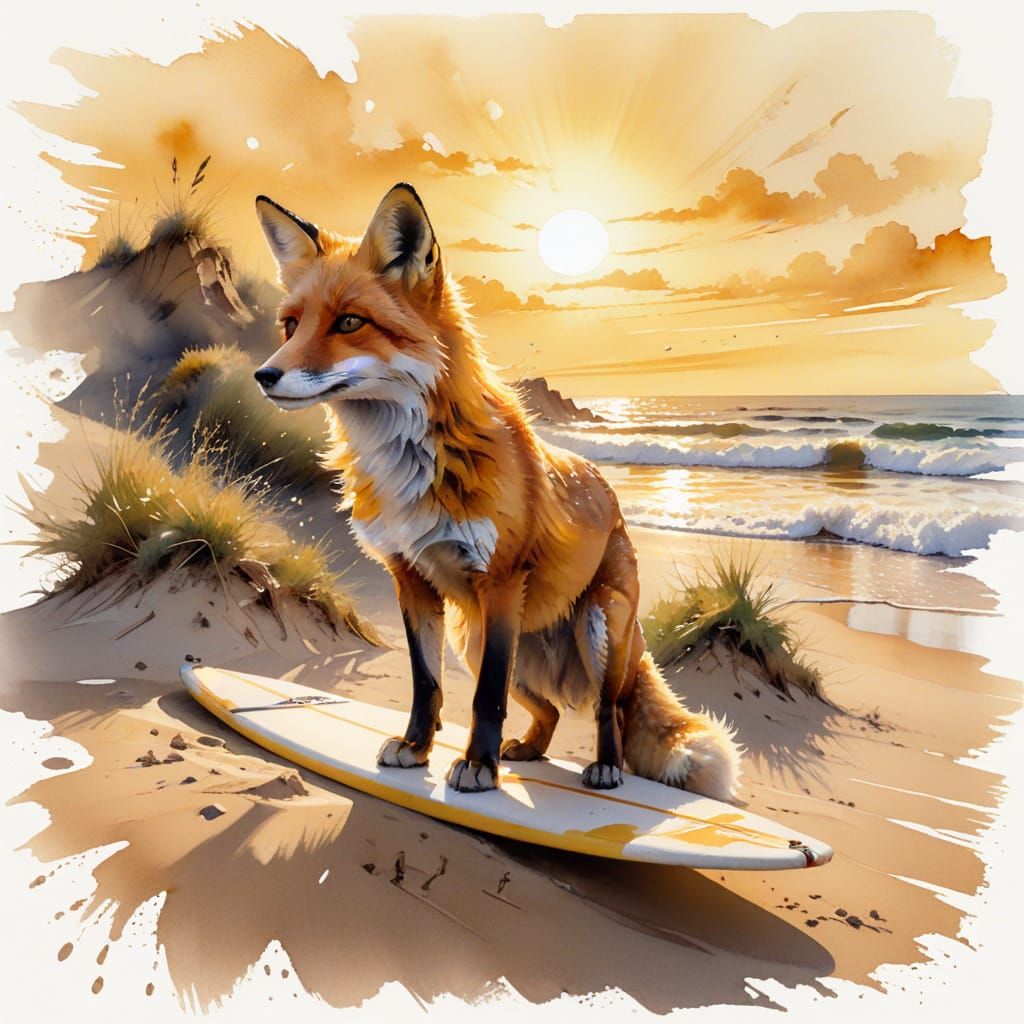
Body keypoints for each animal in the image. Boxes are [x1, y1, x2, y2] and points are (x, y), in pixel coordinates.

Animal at [253, 183, 742, 800]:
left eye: (348, 322)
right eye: (291, 326)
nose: (264, 376)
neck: (408, 466)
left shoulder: (502, 578)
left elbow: (485, 698)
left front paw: (478, 768)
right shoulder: (410, 578)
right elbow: (426, 683)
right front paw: (417, 748)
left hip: (598, 625)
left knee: (608, 709)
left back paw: (603, 768)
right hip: (474, 638)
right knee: (550, 711)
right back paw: (528, 750)